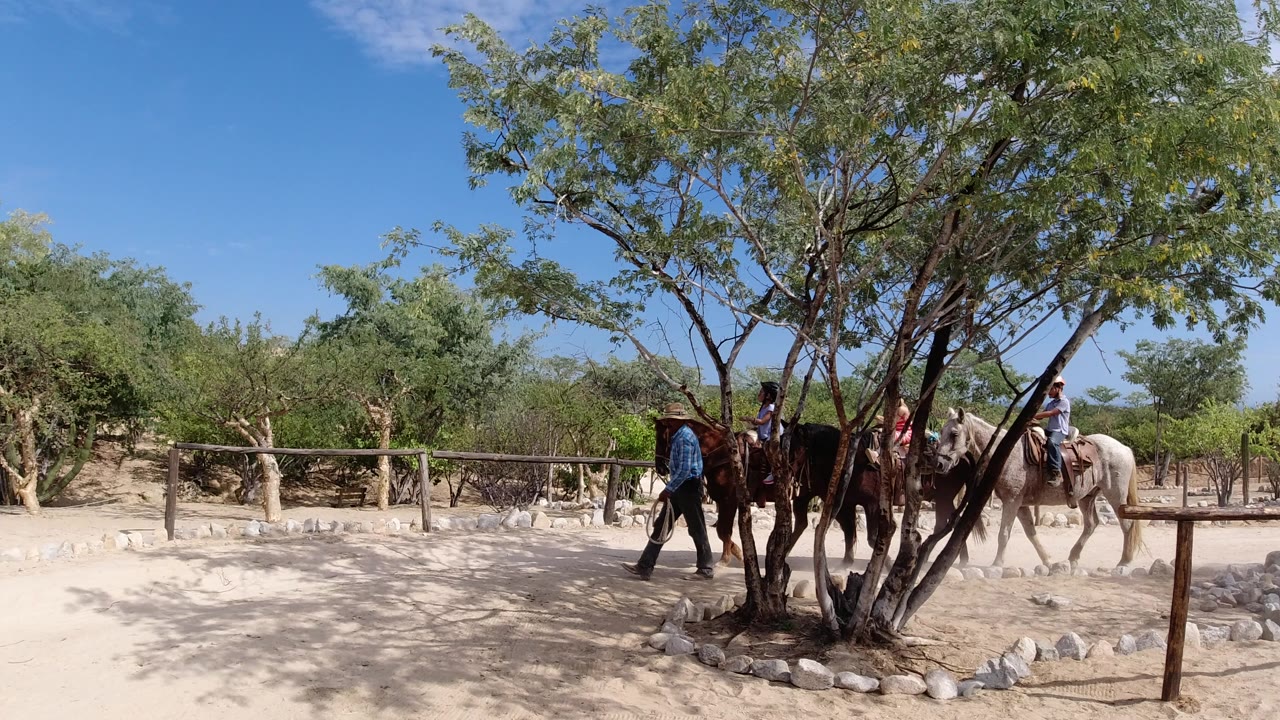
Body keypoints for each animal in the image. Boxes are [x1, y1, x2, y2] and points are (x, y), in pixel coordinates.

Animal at [932, 408, 1142, 568]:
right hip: (1086, 497)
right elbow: (1030, 533)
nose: (939, 464)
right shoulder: (1021, 505)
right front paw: (1048, 561)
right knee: (1091, 524)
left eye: (954, 434)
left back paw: (1124, 562)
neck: (1007, 454)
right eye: (941, 431)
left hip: (1116, 495)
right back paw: (1073, 558)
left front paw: (997, 564)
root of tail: (1124, 448)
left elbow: (1003, 534)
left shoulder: (1012, 502)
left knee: (1126, 524)